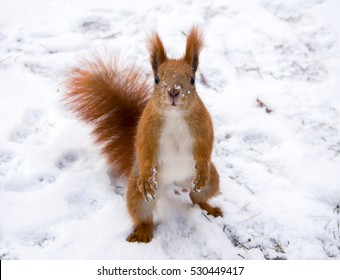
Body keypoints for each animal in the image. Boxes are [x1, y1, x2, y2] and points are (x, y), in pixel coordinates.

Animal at [64, 25, 222, 243]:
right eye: (157, 79)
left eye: (192, 80)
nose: (174, 91)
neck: (174, 115)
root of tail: (173, 182)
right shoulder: (147, 128)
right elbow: (144, 147)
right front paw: (148, 175)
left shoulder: (203, 125)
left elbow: (206, 145)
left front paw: (203, 169)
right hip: (137, 195)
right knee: (143, 215)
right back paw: (142, 233)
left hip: (210, 181)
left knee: (197, 196)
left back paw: (209, 207)